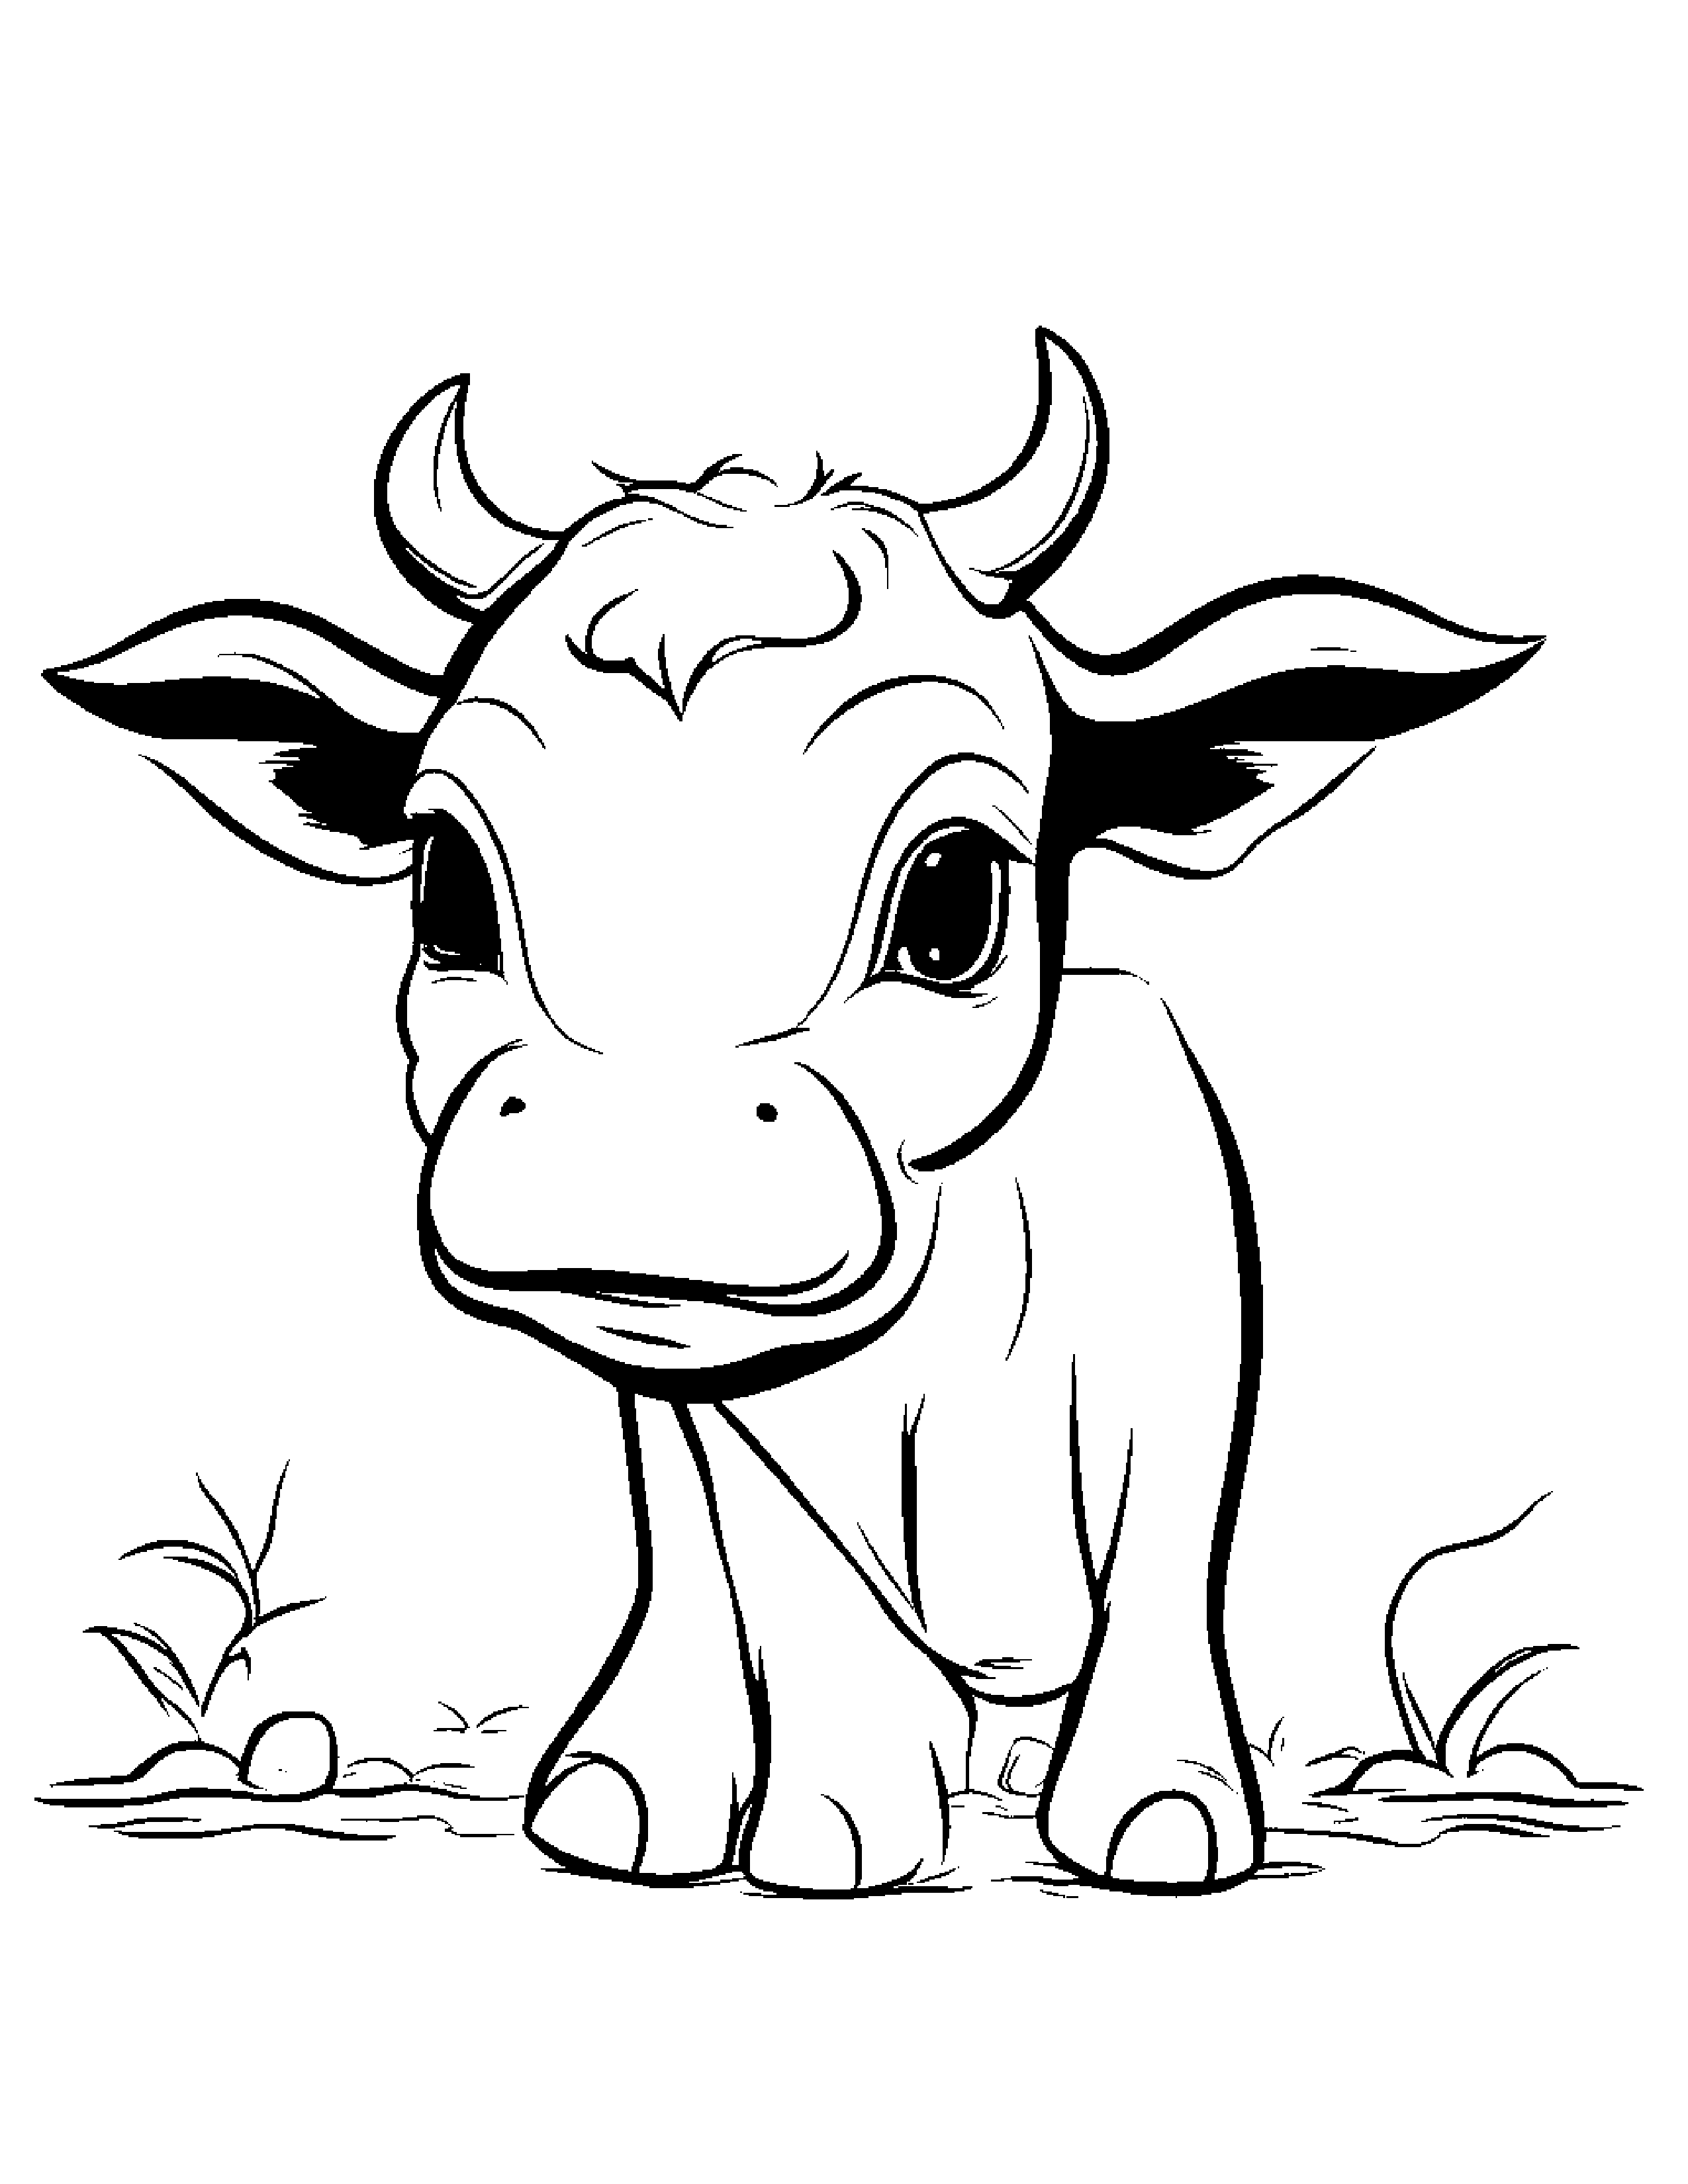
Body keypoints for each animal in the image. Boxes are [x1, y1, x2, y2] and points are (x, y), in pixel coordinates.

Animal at [46, 332, 1538, 1894]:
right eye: (446, 880)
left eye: (953, 894)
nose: (629, 1140)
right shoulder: (730, 1419)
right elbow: (796, 1589)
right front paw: (841, 1823)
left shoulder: (1188, 1354)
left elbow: (1168, 1565)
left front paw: (1158, 1809)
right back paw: (633, 1787)